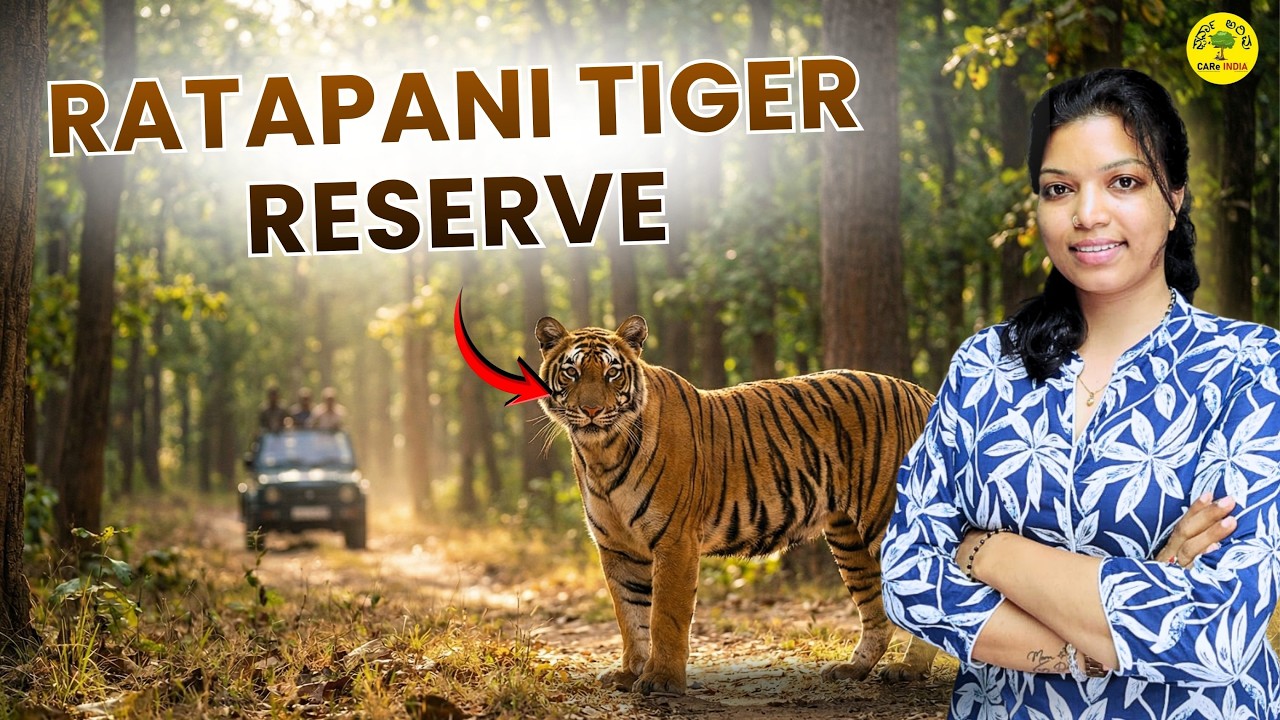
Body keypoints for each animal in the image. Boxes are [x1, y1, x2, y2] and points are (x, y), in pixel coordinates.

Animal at [535, 314, 939, 696]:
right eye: (572, 372)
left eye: (612, 373)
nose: (590, 409)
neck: (601, 452)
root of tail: (923, 392)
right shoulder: (617, 547)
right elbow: (630, 616)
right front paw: (630, 673)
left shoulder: (675, 541)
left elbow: (665, 616)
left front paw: (661, 680)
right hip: (848, 536)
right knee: (877, 610)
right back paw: (853, 669)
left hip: (886, 519)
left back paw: (909, 670)